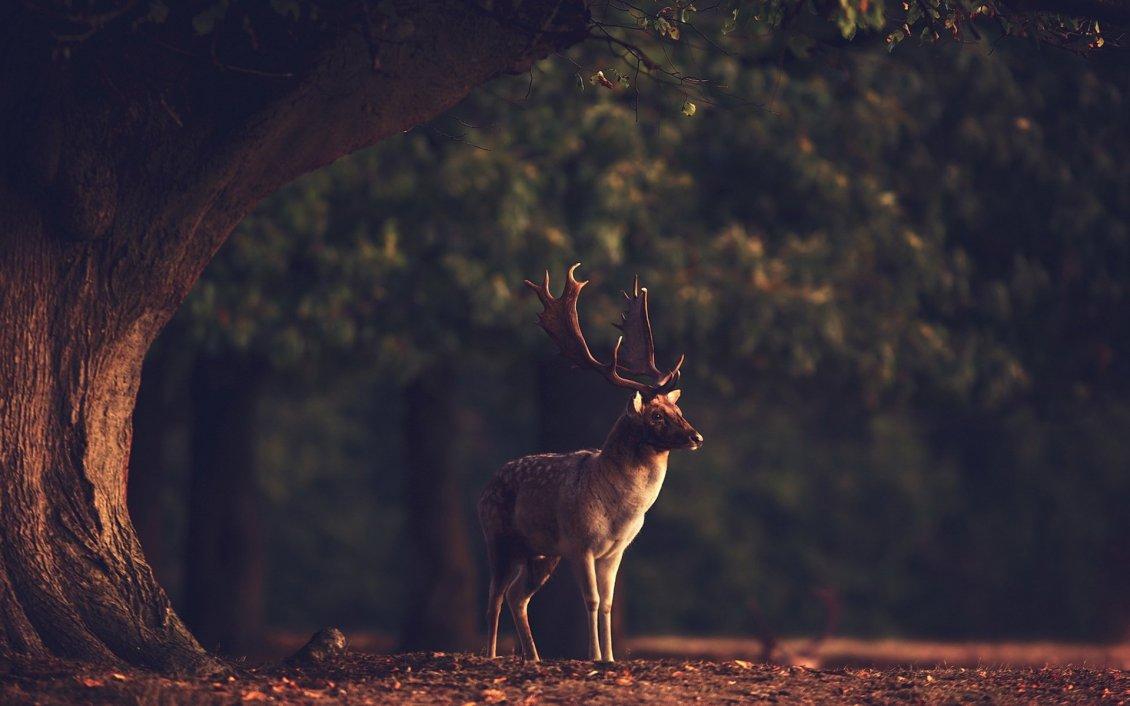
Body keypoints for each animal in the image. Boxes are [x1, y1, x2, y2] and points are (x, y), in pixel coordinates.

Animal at [477, 263, 703, 663]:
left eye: (678, 410)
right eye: (656, 416)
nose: (696, 437)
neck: (619, 511)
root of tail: (485, 487)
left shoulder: (615, 550)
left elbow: (609, 603)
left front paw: (610, 657)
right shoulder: (580, 543)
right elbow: (592, 599)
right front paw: (594, 656)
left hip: (541, 553)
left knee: (518, 596)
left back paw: (535, 657)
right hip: (498, 537)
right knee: (495, 599)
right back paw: (491, 655)